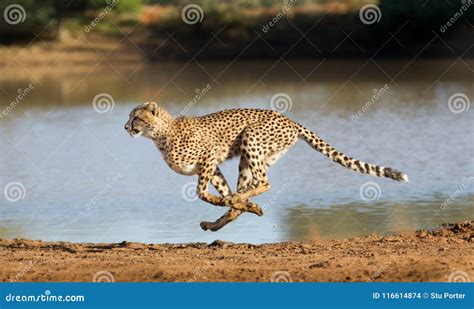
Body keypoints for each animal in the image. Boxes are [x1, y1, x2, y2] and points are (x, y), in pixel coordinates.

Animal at [125, 102, 408, 230]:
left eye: (136, 117)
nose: (126, 127)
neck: (160, 134)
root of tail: (289, 119)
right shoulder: (212, 166)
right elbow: (221, 191)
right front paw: (241, 205)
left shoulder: (209, 156)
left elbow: (201, 192)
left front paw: (227, 200)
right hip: (251, 157)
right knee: (250, 187)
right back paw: (227, 216)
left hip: (251, 138)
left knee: (264, 182)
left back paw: (237, 203)